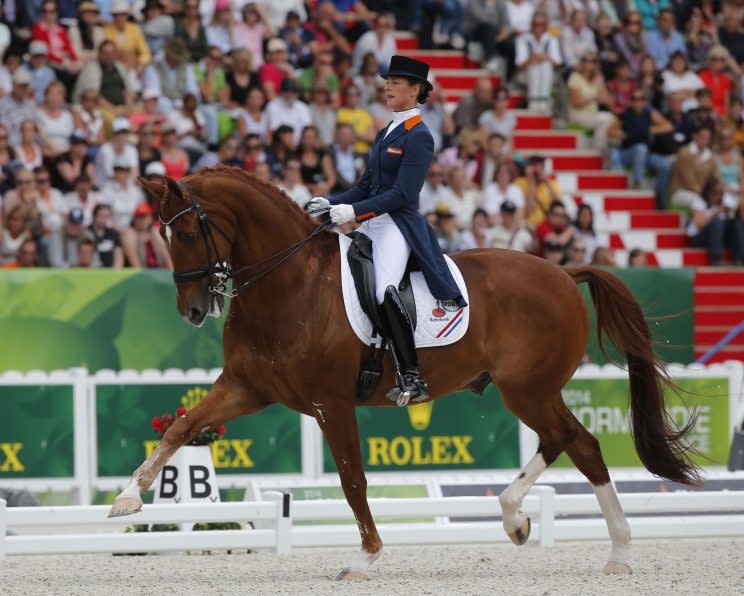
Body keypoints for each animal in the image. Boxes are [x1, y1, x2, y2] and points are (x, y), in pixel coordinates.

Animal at [107, 166, 700, 576]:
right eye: (162, 236)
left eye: (186, 234)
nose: (191, 310)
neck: (290, 284)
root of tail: (561, 271)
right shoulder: (247, 388)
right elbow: (182, 426)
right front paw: (128, 498)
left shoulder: (330, 403)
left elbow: (352, 481)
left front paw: (366, 558)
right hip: (531, 390)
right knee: (568, 442)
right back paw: (536, 525)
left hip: (527, 388)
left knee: (580, 444)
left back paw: (602, 545)